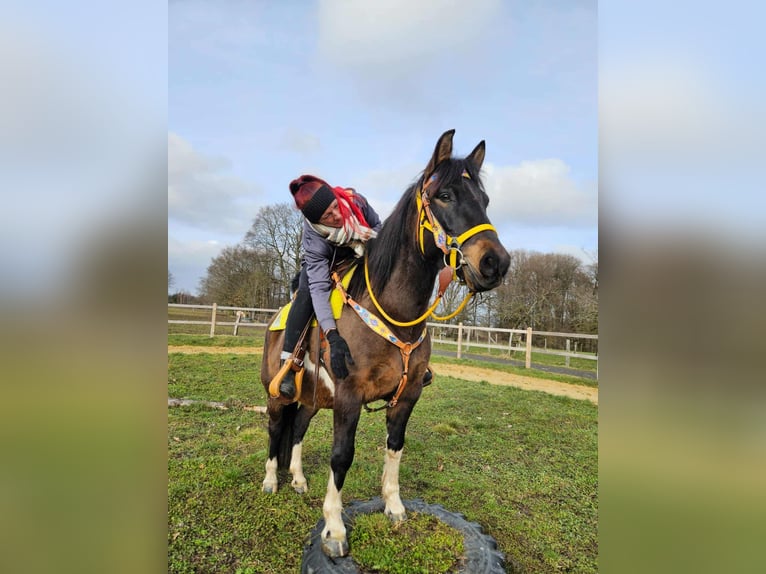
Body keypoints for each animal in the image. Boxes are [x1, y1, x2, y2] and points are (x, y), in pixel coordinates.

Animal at [260, 129, 510, 558]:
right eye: (445, 195)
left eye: (486, 200)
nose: (496, 263)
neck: (394, 314)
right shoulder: (348, 396)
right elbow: (341, 456)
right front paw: (334, 528)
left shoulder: (407, 395)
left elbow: (395, 446)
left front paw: (394, 507)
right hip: (279, 395)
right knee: (277, 430)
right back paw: (271, 481)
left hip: (312, 399)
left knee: (297, 431)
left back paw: (297, 479)